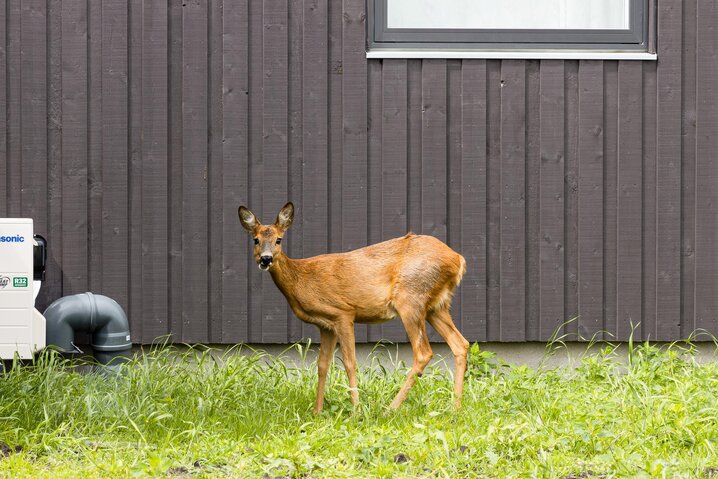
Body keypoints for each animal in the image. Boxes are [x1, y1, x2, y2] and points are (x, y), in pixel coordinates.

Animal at [239, 202, 470, 412]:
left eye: (278, 240)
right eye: (256, 240)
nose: (266, 259)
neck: (301, 279)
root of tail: (458, 259)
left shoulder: (343, 313)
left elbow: (350, 363)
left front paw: (356, 411)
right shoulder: (325, 325)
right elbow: (322, 366)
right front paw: (317, 412)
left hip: (410, 300)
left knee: (423, 353)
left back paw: (390, 409)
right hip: (436, 306)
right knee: (461, 344)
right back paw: (455, 409)